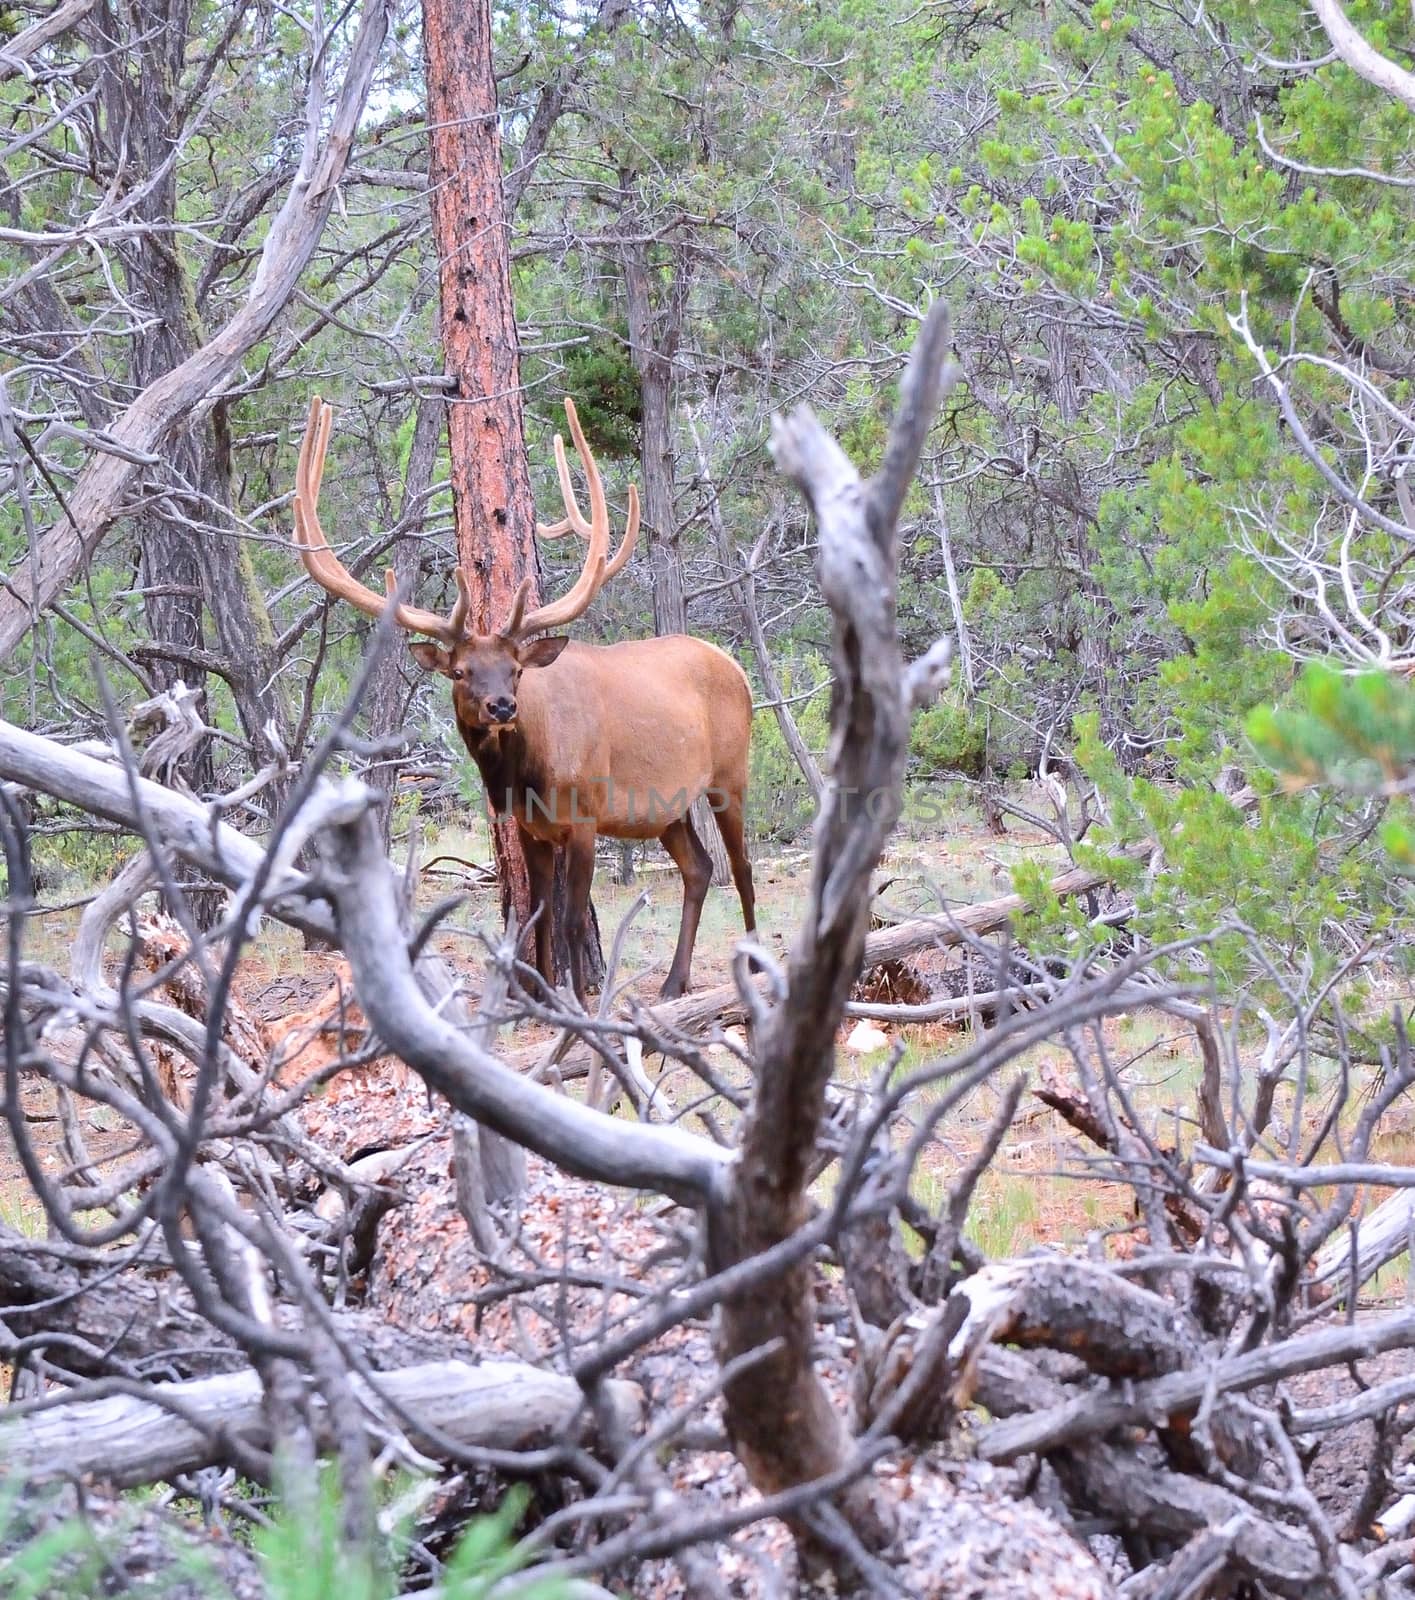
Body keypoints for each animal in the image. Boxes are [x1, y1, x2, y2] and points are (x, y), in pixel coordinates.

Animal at [284, 396, 752, 998]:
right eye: (460, 671)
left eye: (515, 671)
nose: (501, 706)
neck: (529, 774)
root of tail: (736, 666)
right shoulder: (531, 828)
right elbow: (539, 916)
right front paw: (540, 993)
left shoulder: (585, 814)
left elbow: (573, 918)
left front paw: (577, 1000)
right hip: (667, 807)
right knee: (698, 867)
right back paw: (674, 981)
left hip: (729, 773)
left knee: (740, 868)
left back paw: (754, 959)